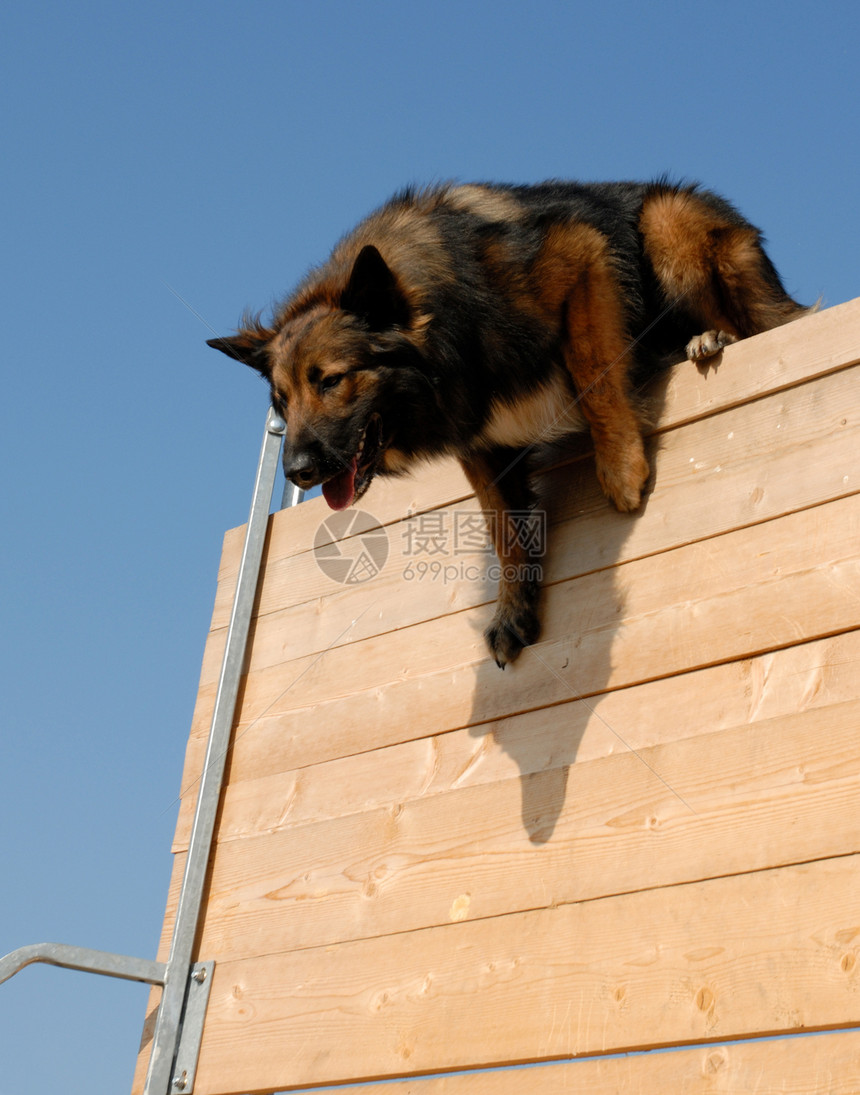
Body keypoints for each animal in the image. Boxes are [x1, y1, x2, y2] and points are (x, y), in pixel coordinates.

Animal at [205, 177, 806, 665]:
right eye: (282, 401)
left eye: (330, 380)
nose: (297, 472)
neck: (454, 309)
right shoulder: (478, 437)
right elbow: (502, 528)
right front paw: (514, 608)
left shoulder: (581, 255)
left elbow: (591, 365)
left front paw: (619, 466)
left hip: (666, 221)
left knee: (759, 324)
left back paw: (709, 339)